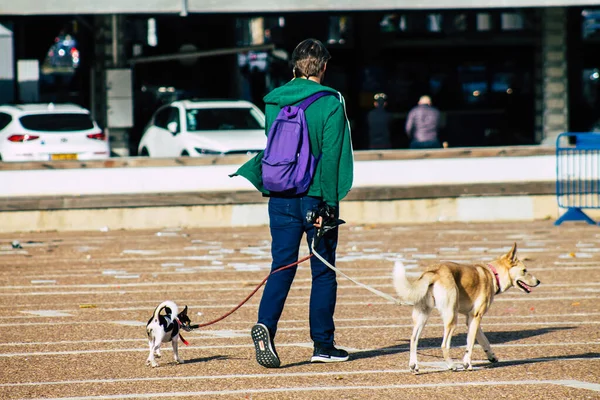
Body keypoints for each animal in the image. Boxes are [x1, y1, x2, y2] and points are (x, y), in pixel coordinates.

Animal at [394, 242, 540, 374]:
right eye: (525, 270)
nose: (538, 281)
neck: (493, 274)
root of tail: (434, 272)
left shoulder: (472, 319)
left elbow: (484, 340)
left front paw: (491, 356)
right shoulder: (475, 317)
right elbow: (470, 343)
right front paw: (467, 363)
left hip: (422, 316)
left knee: (413, 339)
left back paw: (414, 365)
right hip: (451, 317)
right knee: (444, 344)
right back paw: (451, 365)